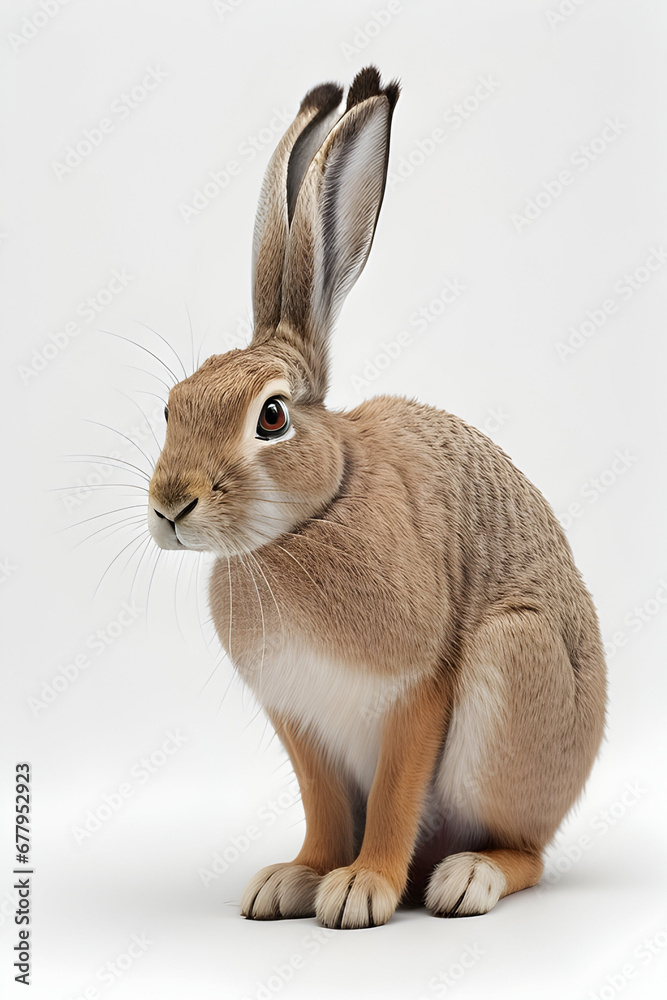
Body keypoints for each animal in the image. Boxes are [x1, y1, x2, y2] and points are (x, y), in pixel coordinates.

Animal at [147, 66, 607, 929]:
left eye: (271, 416)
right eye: (170, 407)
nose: (169, 507)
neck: (304, 523)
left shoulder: (416, 692)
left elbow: (394, 798)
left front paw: (362, 890)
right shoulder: (299, 721)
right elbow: (324, 808)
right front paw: (295, 878)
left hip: (512, 664)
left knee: (525, 850)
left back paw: (467, 878)